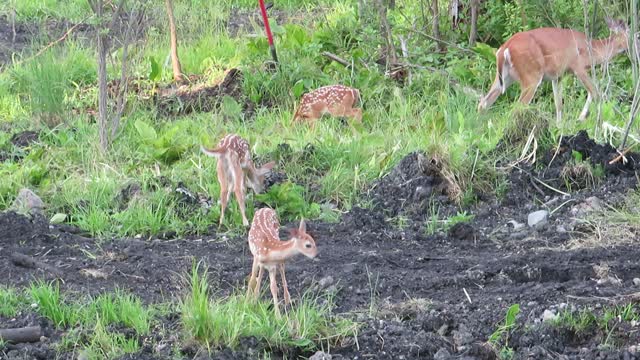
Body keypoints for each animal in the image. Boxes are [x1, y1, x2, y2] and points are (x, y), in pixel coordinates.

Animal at [478, 17, 628, 122]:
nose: (630, 49)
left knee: (483, 103)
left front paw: (559, 126)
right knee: (517, 107)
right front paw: (592, 120)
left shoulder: (557, 76)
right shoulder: (577, 66)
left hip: (505, 77)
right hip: (531, 75)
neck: (592, 49)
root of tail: (505, 47)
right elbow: (595, 92)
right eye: (631, 33)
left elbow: (558, 103)